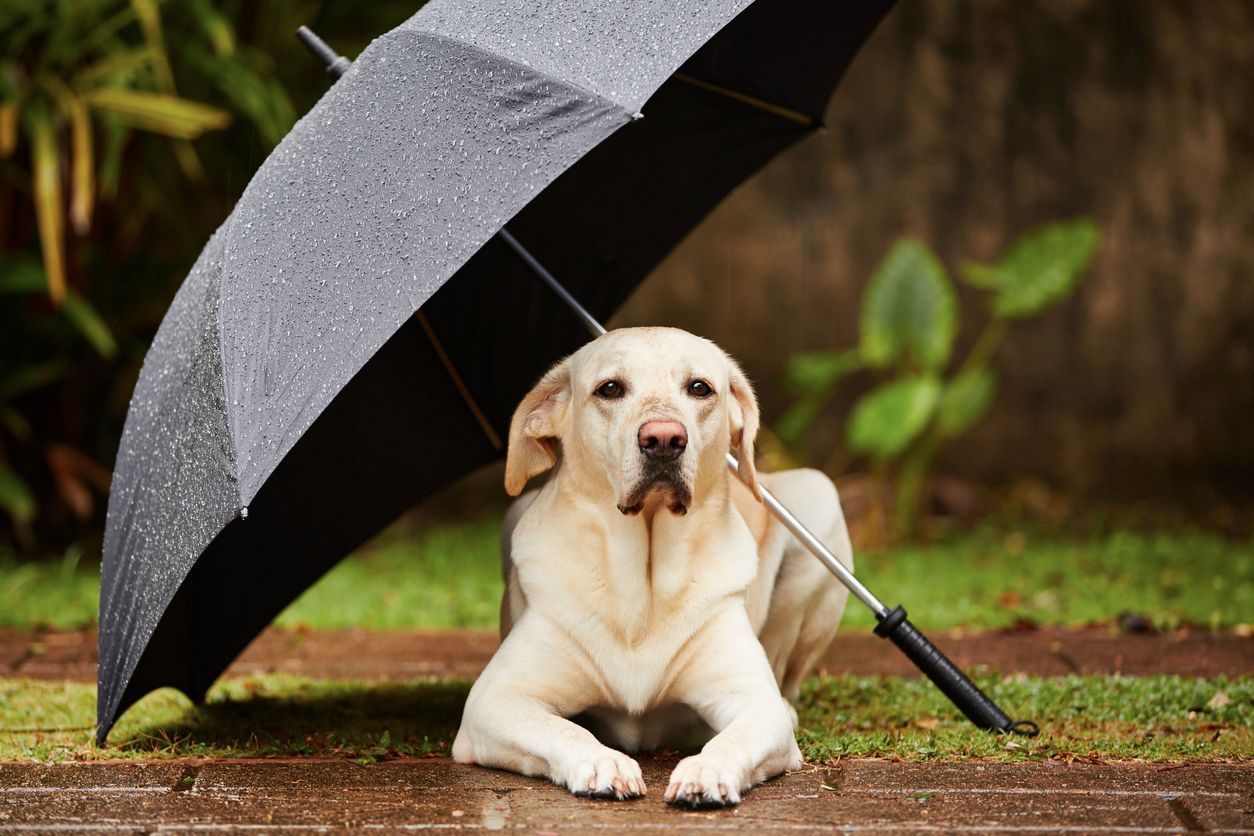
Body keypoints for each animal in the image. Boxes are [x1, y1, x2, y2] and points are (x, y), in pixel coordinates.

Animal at [451, 325, 852, 802]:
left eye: (700, 388)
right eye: (609, 388)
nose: (663, 439)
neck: (644, 581)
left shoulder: (755, 701)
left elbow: (736, 735)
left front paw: (706, 770)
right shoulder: (494, 700)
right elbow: (564, 729)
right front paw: (601, 762)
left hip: (818, 496)